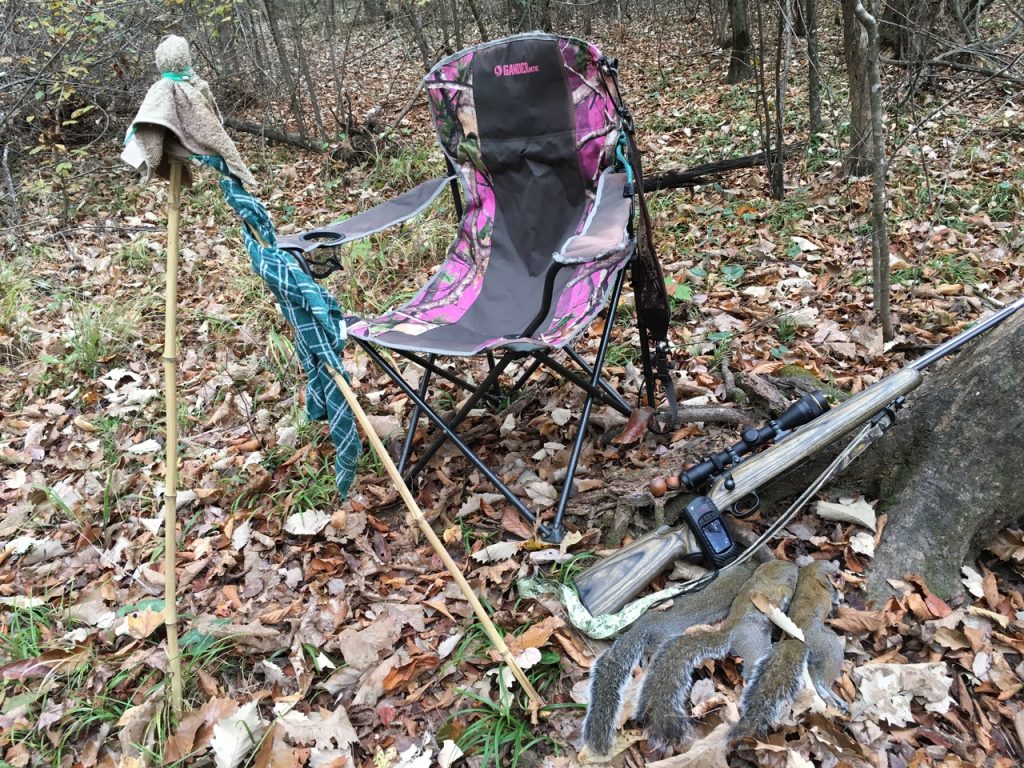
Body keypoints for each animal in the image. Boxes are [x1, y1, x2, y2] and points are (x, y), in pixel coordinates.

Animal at [730, 559, 847, 744]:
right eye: (837, 574)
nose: (840, 574)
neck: (815, 569)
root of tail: (801, 639)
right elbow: (832, 593)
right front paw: (837, 600)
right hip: (831, 651)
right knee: (824, 682)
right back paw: (836, 700)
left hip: (814, 664)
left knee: (817, 683)